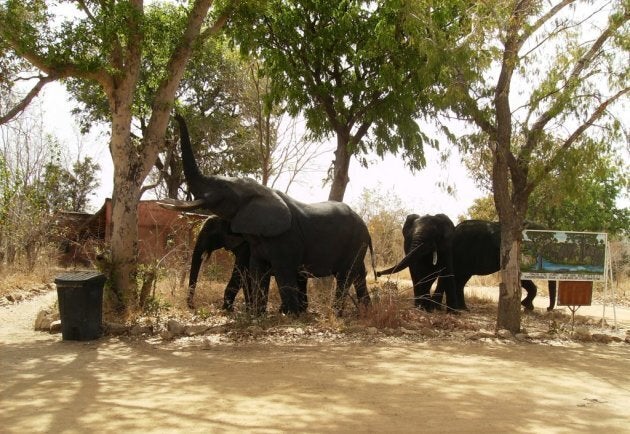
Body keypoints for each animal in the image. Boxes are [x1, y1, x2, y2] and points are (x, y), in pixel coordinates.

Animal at [162, 113, 376, 314]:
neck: (261, 191)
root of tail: (366, 229)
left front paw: (289, 315)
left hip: (355, 242)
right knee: (359, 275)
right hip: (358, 245)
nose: (176, 114)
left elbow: (271, 271)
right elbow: (257, 270)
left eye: (223, 188)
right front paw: (256, 314)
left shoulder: (283, 239)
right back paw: (364, 312)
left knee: (344, 276)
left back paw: (336, 313)